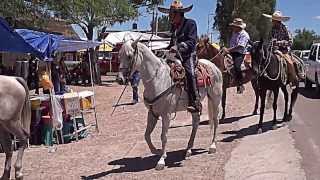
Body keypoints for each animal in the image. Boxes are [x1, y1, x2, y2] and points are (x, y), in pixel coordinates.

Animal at [118, 39, 222, 170]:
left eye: (129, 56)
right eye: (119, 56)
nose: (119, 79)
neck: (157, 79)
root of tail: (213, 66)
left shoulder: (166, 114)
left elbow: (164, 136)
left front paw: (161, 160)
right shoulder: (152, 113)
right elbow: (146, 135)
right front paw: (157, 151)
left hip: (215, 99)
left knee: (215, 120)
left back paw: (212, 146)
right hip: (194, 106)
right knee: (196, 122)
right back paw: (188, 150)